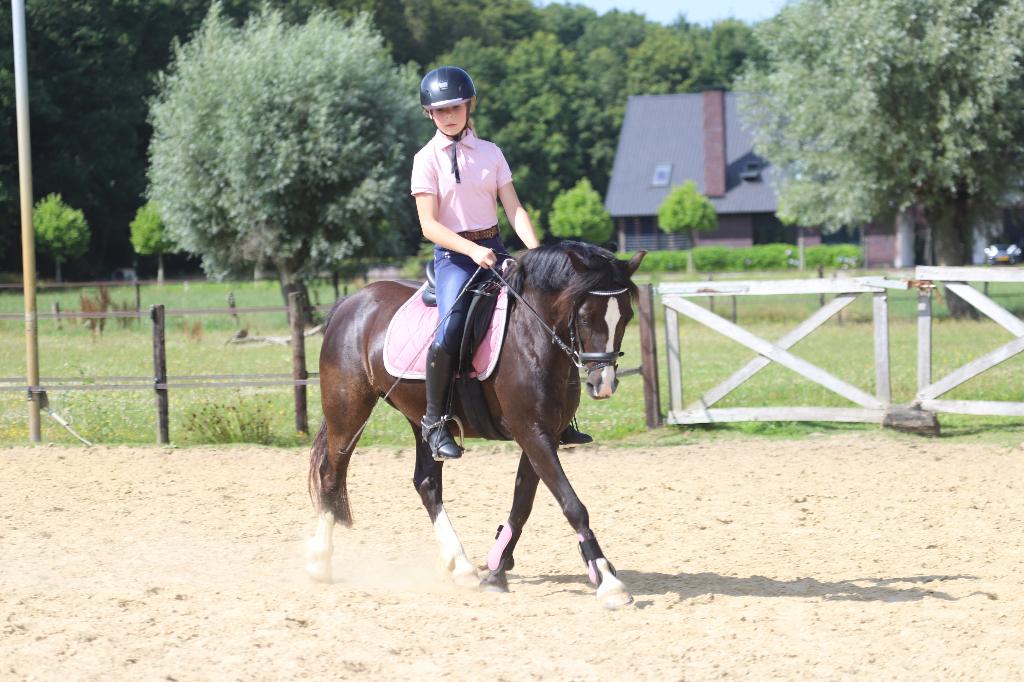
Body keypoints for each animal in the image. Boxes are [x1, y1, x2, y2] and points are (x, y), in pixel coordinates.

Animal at [306, 241, 646, 609]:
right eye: (584, 317)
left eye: (626, 317)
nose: (604, 384)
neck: (533, 334)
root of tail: (351, 302)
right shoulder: (532, 432)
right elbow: (572, 505)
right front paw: (608, 580)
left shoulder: (545, 435)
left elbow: (522, 505)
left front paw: (496, 571)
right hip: (349, 411)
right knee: (331, 474)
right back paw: (319, 562)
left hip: (420, 418)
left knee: (426, 483)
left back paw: (461, 566)